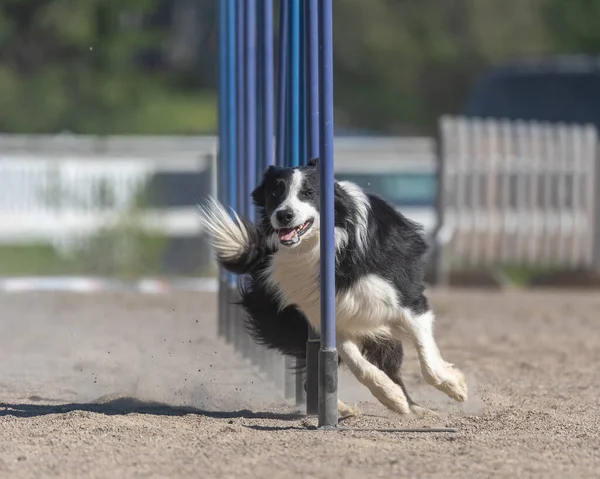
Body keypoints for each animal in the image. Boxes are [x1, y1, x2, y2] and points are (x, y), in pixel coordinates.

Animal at [199, 159, 466, 418]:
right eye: (275, 192)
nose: (284, 215)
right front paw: (390, 396)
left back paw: (417, 409)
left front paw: (455, 385)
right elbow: (359, 366)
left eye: (308, 193)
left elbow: (428, 362)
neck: (324, 248)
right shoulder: (328, 316)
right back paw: (352, 408)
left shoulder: (408, 303)